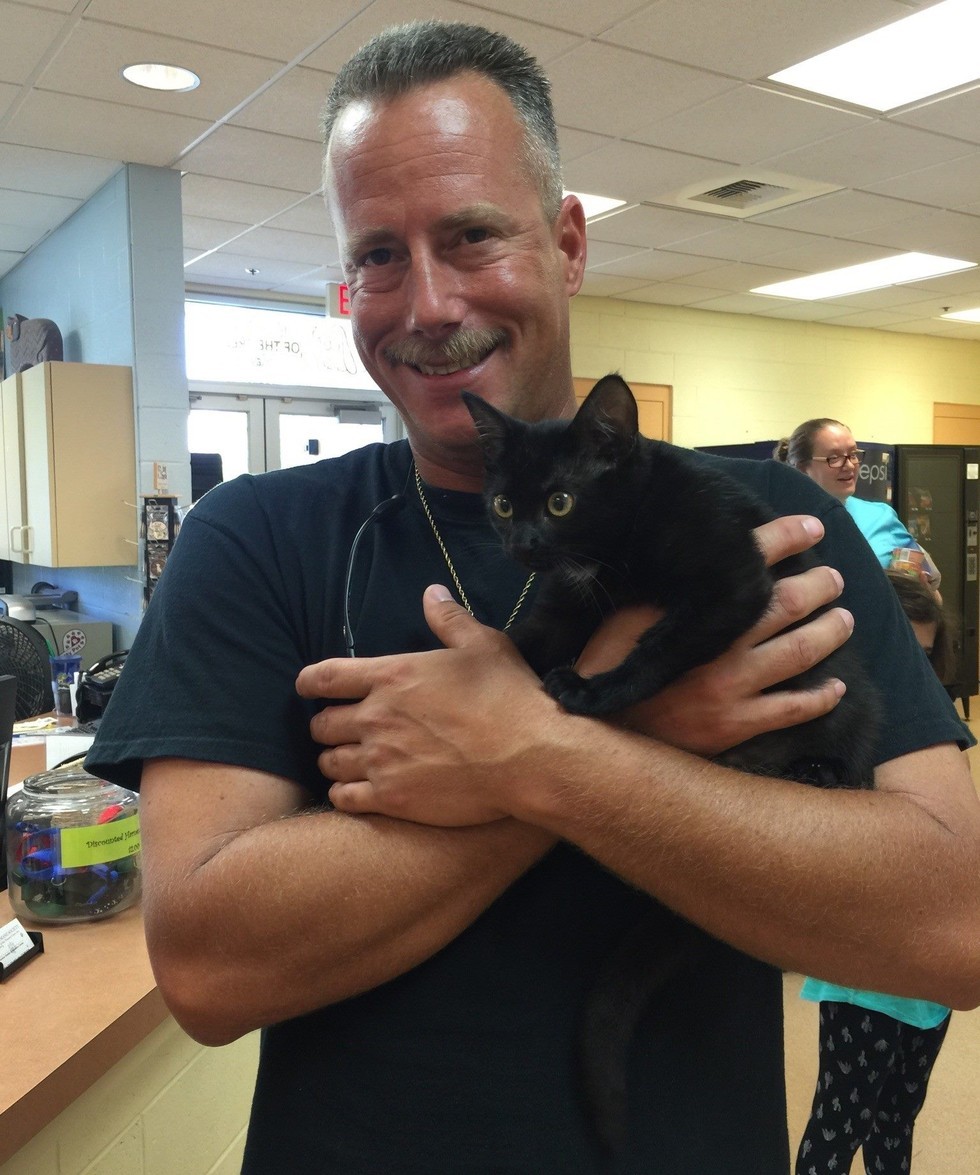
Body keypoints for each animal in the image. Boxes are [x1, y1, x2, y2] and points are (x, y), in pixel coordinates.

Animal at [462, 373, 878, 1156]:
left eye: (560, 501)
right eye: (502, 503)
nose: (523, 544)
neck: (624, 532)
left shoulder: (732, 579)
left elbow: (658, 646)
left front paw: (592, 691)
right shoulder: (568, 598)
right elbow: (523, 638)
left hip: (853, 701)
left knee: (849, 762)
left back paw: (812, 774)